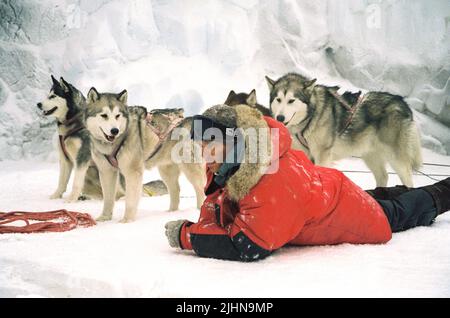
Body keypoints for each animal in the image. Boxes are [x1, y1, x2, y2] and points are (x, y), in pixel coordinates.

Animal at [85, 87, 206, 221]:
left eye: (117, 115)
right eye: (104, 115)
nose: (114, 130)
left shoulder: (133, 172)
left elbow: (130, 200)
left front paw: (127, 220)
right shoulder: (106, 172)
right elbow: (108, 199)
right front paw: (104, 218)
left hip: (190, 169)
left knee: (201, 190)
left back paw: (200, 210)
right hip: (166, 171)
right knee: (176, 190)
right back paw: (171, 213)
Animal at [264, 72, 422, 186]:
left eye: (291, 100)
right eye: (278, 99)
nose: (280, 118)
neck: (310, 117)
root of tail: (403, 103)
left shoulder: (322, 155)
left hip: (397, 159)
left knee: (408, 181)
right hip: (370, 155)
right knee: (383, 176)